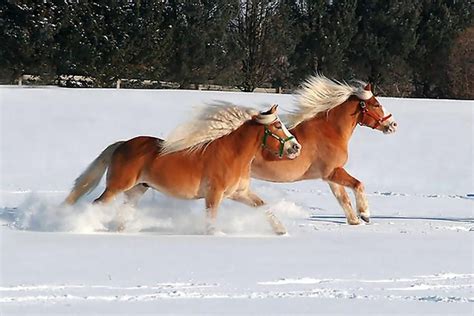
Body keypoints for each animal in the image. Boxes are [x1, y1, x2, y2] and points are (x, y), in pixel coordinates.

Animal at [64, 104, 300, 235]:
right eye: (277, 125)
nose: (296, 147)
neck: (234, 155)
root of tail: (122, 145)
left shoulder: (239, 193)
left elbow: (263, 207)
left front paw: (281, 231)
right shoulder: (214, 193)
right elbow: (211, 216)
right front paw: (215, 234)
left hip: (138, 189)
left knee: (124, 212)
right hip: (118, 186)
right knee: (97, 204)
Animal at [250, 75, 398, 225]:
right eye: (376, 104)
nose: (393, 125)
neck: (329, 132)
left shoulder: (331, 177)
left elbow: (343, 199)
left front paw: (354, 221)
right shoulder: (332, 172)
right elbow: (358, 185)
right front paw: (364, 214)